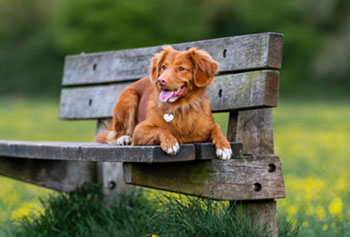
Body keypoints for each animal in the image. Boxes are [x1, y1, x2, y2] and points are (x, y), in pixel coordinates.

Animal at [95, 45, 232, 160]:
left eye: (181, 68)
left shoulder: (207, 126)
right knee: (118, 132)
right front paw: (170, 143)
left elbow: (217, 127)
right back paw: (124, 138)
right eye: (163, 67)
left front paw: (224, 146)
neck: (180, 107)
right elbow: (160, 129)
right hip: (129, 97)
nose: (161, 80)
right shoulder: (139, 130)